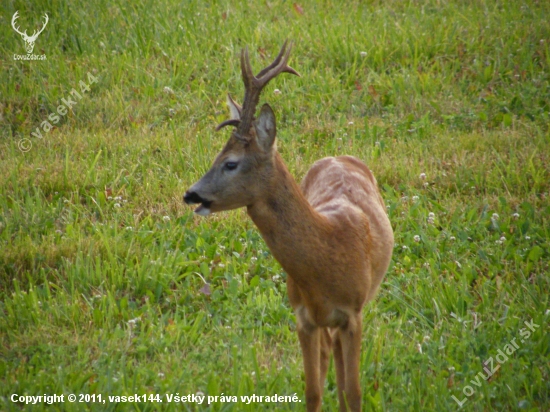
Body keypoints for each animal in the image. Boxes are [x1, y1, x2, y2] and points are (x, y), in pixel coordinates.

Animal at [187, 41, 396, 412]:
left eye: (230, 163)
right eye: (215, 157)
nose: (191, 193)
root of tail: (338, 156)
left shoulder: (354, 313)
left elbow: (354, 391)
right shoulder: (303, 318)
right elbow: (313, 391)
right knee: (330, 356)